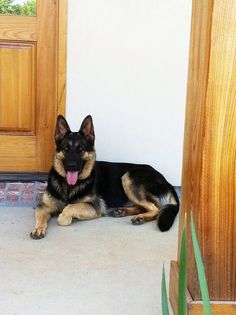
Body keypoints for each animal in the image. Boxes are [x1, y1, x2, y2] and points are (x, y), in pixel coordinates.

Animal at [30, 115, 179, 239]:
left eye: (80, 149)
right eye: (66, 149)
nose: (72, 166)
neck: (69, 186)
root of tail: (166, 181)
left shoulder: (94, 206)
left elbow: (69, 208)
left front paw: (64, 217)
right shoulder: (43, 206)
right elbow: (40, 216)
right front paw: (38, 229)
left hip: (128, 177)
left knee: (156, 208)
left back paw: (140, 217)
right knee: (146, 206)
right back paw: (122, 211)